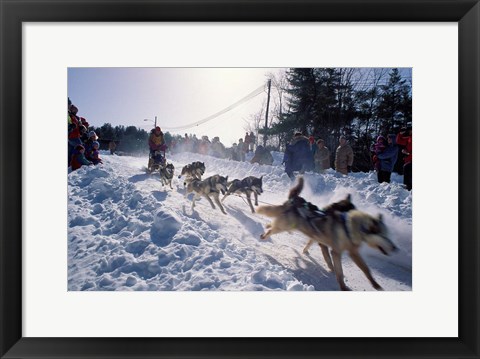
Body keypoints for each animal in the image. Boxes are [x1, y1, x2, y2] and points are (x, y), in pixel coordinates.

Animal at [256, 177, 396, 292]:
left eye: (387, 235)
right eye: (383, 236)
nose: (395, 247)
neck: (348, 228)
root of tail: (295, 200)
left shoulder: (353, 252)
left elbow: (366, 269)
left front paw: (374, 284)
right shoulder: (335, 252)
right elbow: (338, 270)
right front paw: (342, 286)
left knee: (273, 221)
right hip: (285, 225)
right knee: (272, 226)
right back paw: (264, 234)